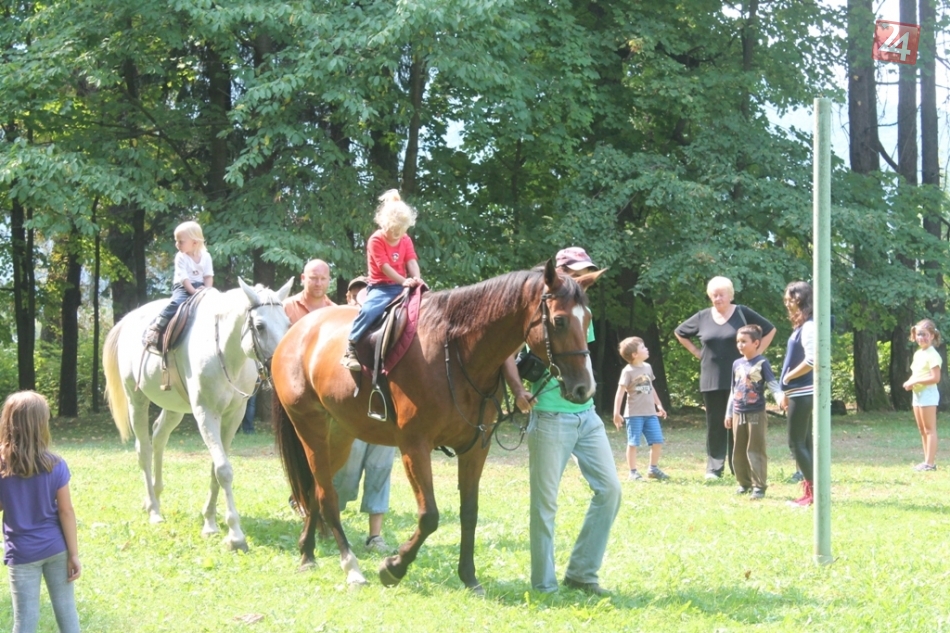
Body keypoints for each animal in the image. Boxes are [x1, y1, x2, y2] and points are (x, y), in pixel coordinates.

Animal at [103, 278, 293, 551]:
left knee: (159, 437)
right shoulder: (206, 413)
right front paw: (235, 534)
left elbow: (216, 467)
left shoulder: (233, 416)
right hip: (136, 400)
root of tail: (129, 319)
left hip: (174, 408)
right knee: (144, 449)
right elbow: (223, 469)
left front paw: (210, 522)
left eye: (288, 324)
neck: (225, 352)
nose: (280, 367)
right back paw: (154, 510)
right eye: (260, 326)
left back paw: (155, 496)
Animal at [272, 260, 604, 591]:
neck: (456, 352)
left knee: (315, 490)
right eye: (560, 321)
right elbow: (429, 515)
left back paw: (307, 553)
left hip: (339, 434)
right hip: (311, 428)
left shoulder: (475, 448)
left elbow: (469, 512)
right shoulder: (414, 446)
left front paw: (468, 575)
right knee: (327, 497)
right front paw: (394, 567)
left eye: (587, 319)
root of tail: (296, 332)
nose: (584, 388)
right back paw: (350, 565)